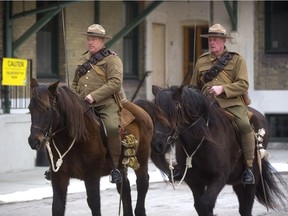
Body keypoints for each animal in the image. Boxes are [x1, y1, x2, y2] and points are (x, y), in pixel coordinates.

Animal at [27, 79, 153, 216]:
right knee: (124, 188)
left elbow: (94, 203)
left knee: (142, 183)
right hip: (121, 165)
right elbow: (57, 206)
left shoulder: (92, 175)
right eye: (30, 108)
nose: (34, 141)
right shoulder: (59, 177)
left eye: (47, 108)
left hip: (142, 158)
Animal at [148, 84, 288, 216]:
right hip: (237, 181)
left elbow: (206, 203)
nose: (156, 145)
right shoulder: (194, 182)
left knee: (246, 207)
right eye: (154, 114)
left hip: (251, 179)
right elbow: (200, 206)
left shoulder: (218, 178)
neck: (200, 142)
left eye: (171, 113)